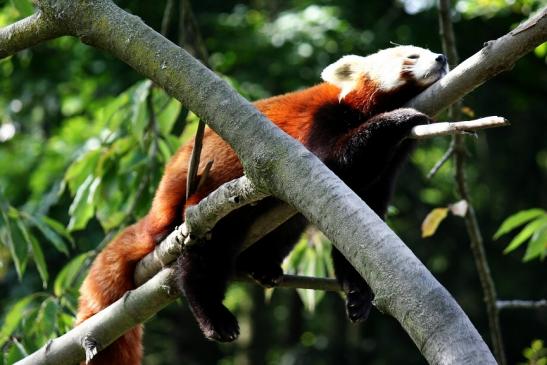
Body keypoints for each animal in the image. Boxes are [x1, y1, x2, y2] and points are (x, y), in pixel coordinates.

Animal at [75, 46, 448, 364]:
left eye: (428, 50)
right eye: (412, 56)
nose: (442, 58)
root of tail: (160, 203)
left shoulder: (385, 172)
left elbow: (360, 229)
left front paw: (358, 292)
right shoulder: (322, 122)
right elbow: (334, 159)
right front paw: (402, 116)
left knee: (286, 227)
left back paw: (263, 265)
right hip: (201, 202)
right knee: (203, 256)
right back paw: (212, 312)